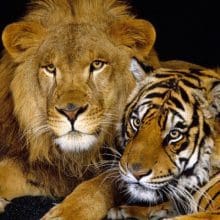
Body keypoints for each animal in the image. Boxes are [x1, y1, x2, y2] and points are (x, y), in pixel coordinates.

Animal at [0, 0, 158, 218]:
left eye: (97, 64)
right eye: (50, 68)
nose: (71, 111)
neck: (78, 158)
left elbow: (100, 185)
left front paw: (67, 212)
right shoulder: (46, 169)